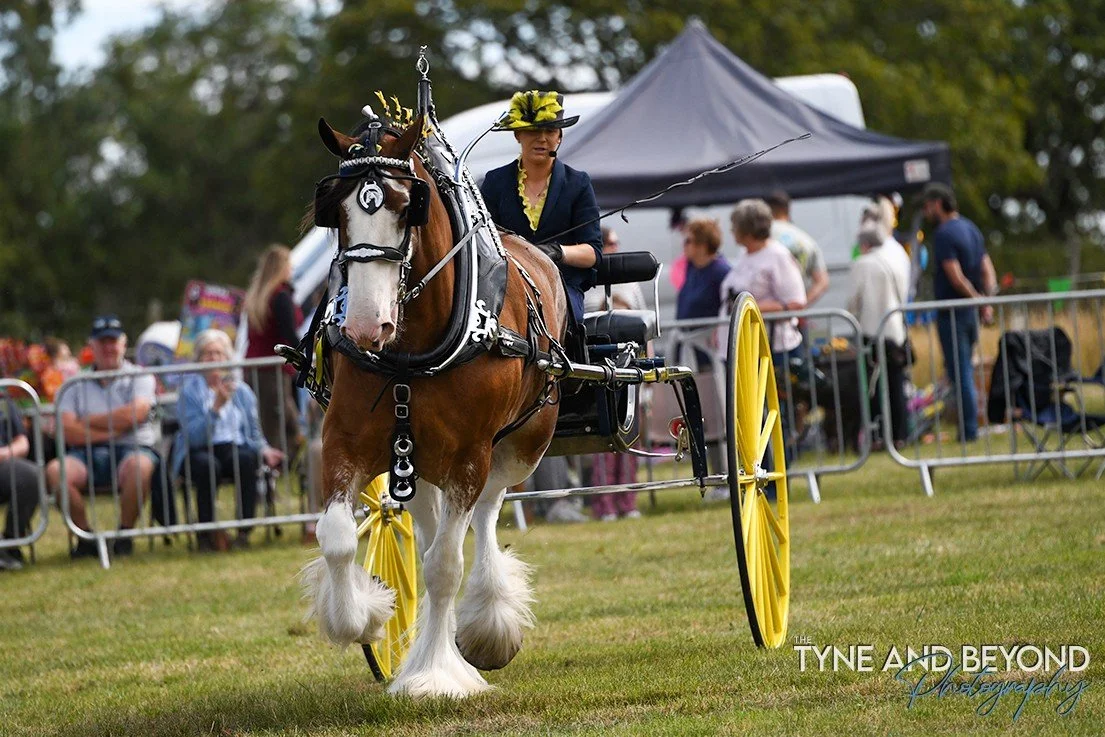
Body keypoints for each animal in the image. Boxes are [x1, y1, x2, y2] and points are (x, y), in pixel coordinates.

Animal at [299, 114, 568, 697]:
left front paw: (437, 675)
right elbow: (337, 538)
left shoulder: (470, 456)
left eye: (407, 207)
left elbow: (446, 563)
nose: (364, 326)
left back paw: (488, 622)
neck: (410, 351)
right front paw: (366, 614)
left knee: (485, 513)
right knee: (423, 527)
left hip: (520, 444)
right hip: (414, 456)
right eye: (337, 210)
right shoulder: (343, 441)